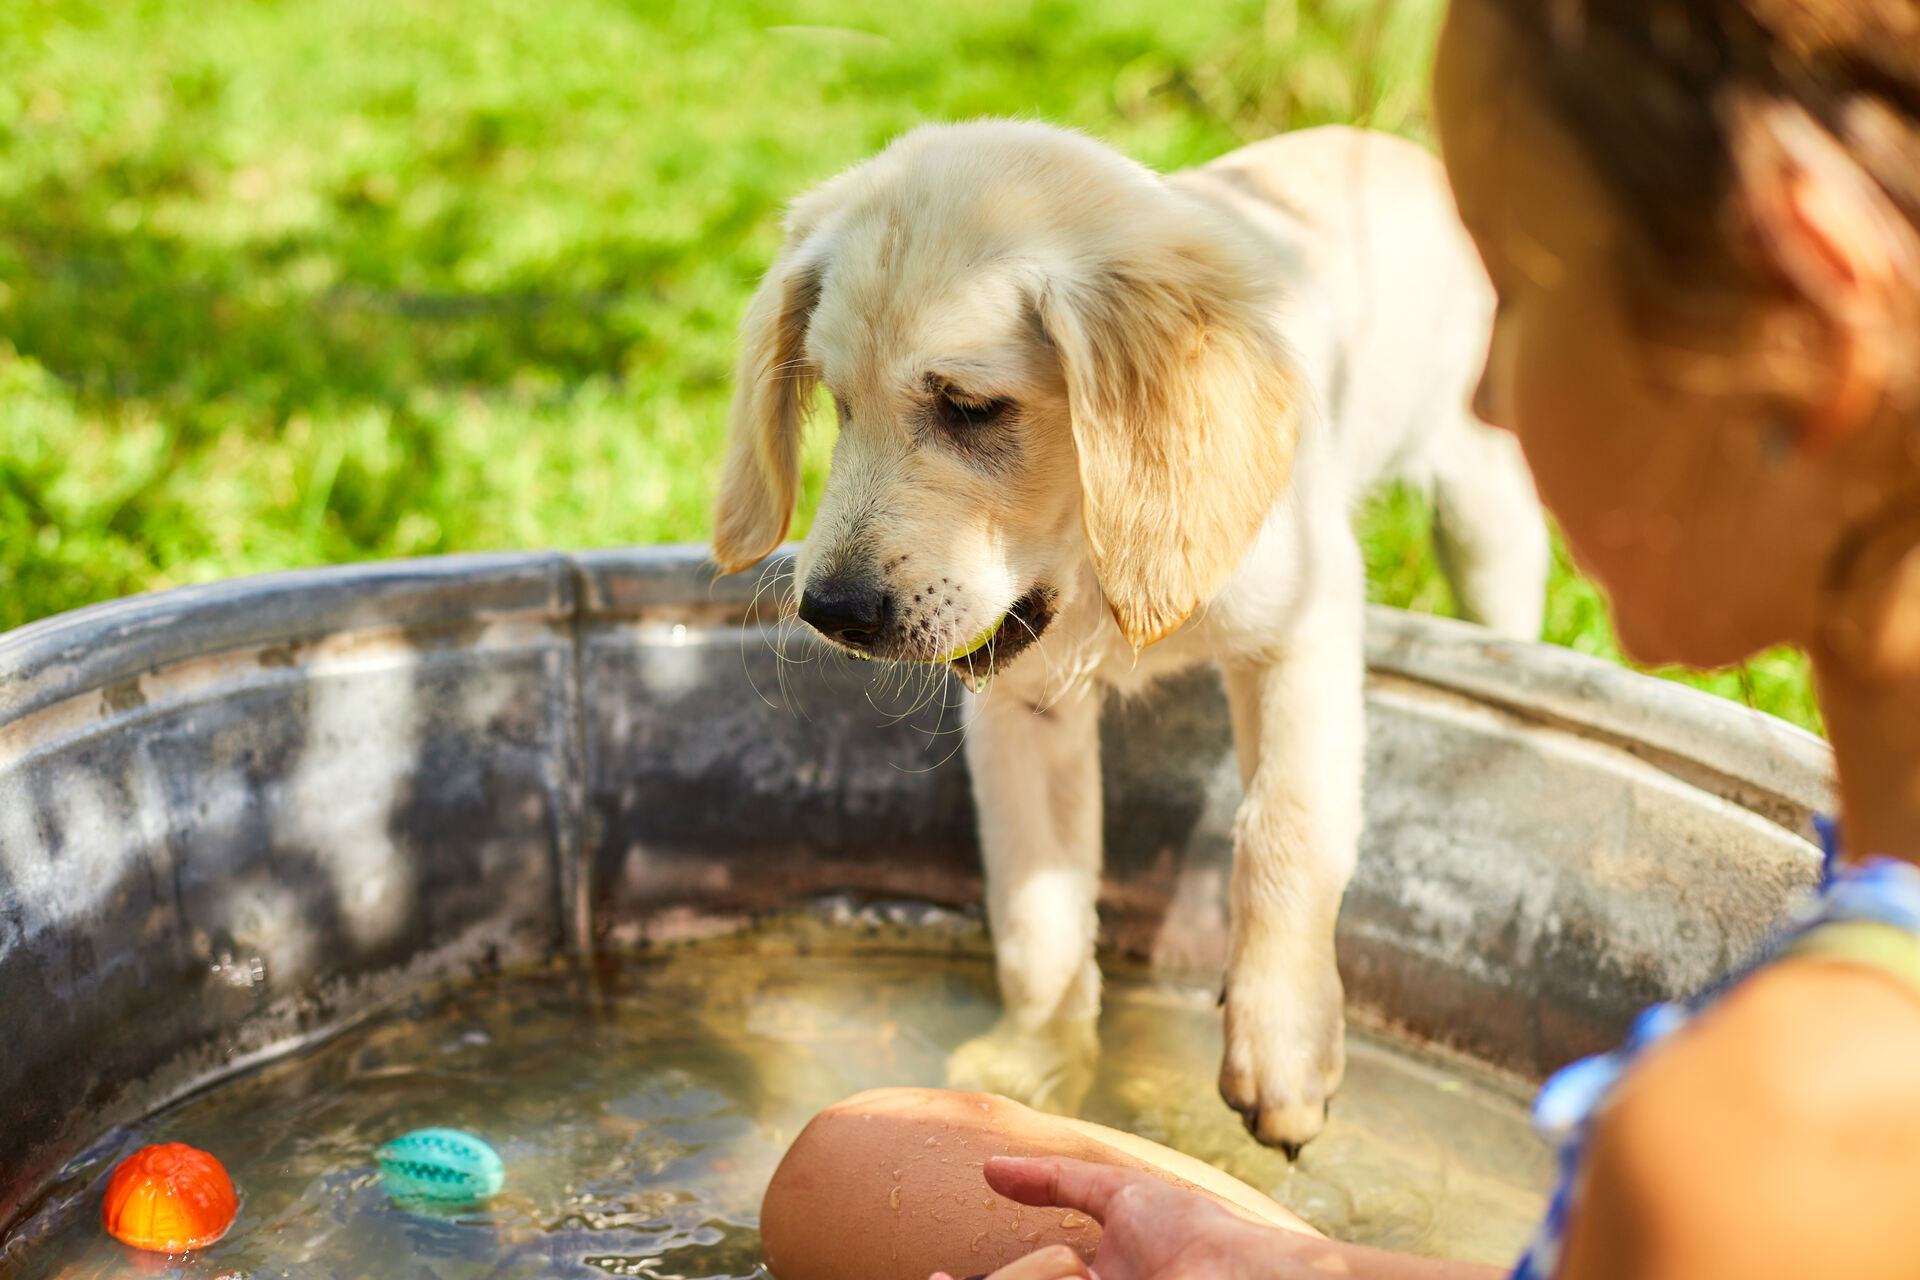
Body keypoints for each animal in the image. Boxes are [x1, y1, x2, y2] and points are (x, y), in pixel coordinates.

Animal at [714, 119, 1536, 1151]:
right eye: (836, 402)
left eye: (971, 408)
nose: (833, 613)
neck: (1101, 571)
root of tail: (1389, 145)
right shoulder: (1019, 702)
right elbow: (1039, 910)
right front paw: (1031, 1070)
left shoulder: (1304, 624)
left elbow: (1287, 826)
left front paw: (1284, 1045)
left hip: (1484, 502)